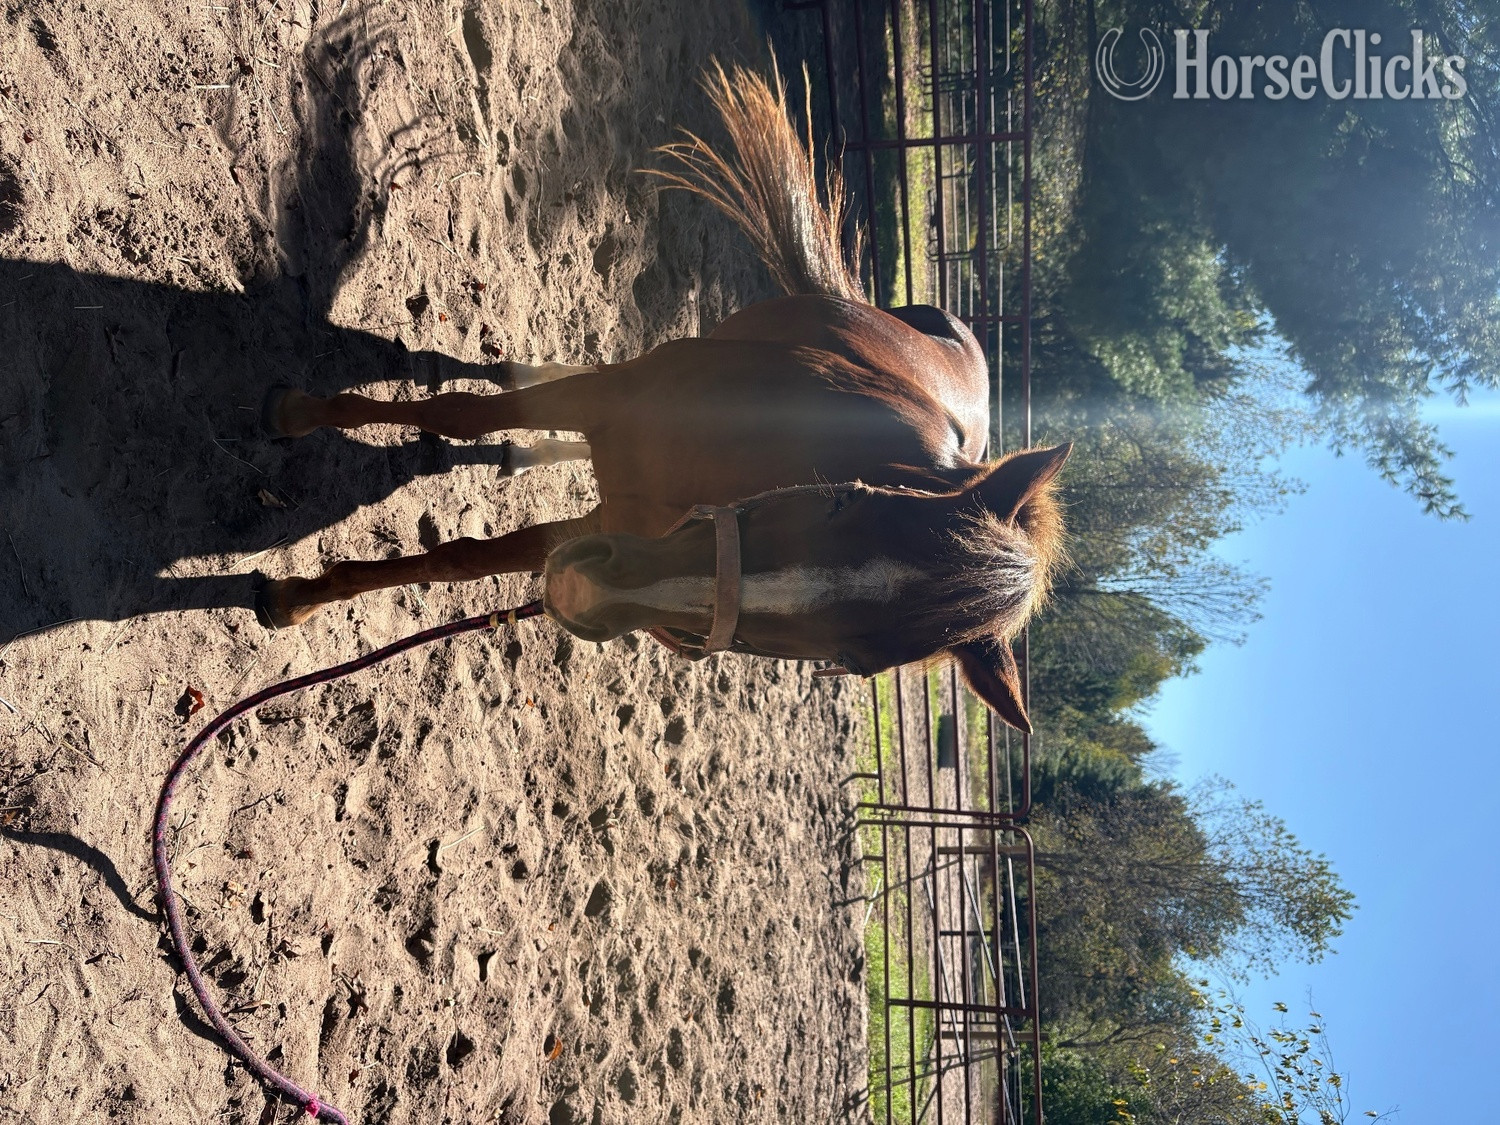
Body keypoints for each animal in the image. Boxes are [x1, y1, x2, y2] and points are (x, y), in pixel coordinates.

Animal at [254, 61, 1069, 734]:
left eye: (853, 662)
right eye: (846, 500)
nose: (586, 591)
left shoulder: (604, 524)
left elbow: (462, 560)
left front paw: (300, 596)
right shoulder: (609, 404)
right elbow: (452, 423)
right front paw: (297, 418)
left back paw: (517, 456)